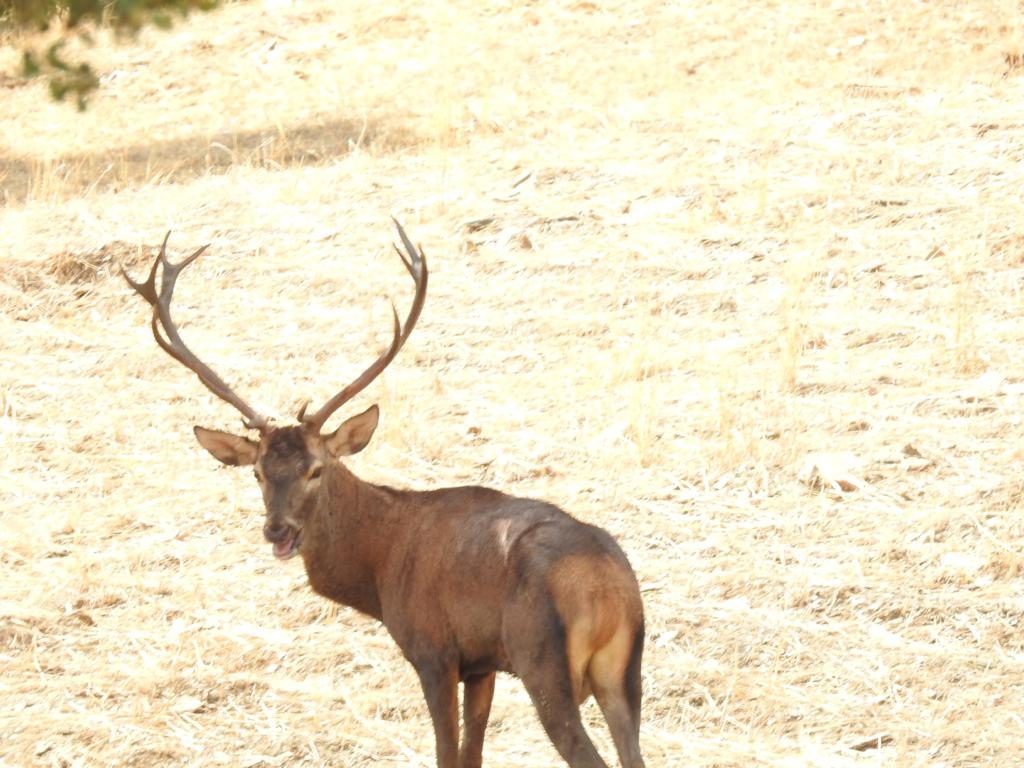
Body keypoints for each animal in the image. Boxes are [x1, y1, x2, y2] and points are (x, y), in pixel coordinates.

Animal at [124, 221, 646, 768]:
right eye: (258, 473)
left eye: (316, 469)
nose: (277, 530)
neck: (378, 568)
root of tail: (608, 586)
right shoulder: (482, 664)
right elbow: (473, 754)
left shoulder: (434, 649)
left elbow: (448, 754)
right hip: (625, 671)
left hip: (542, 660)